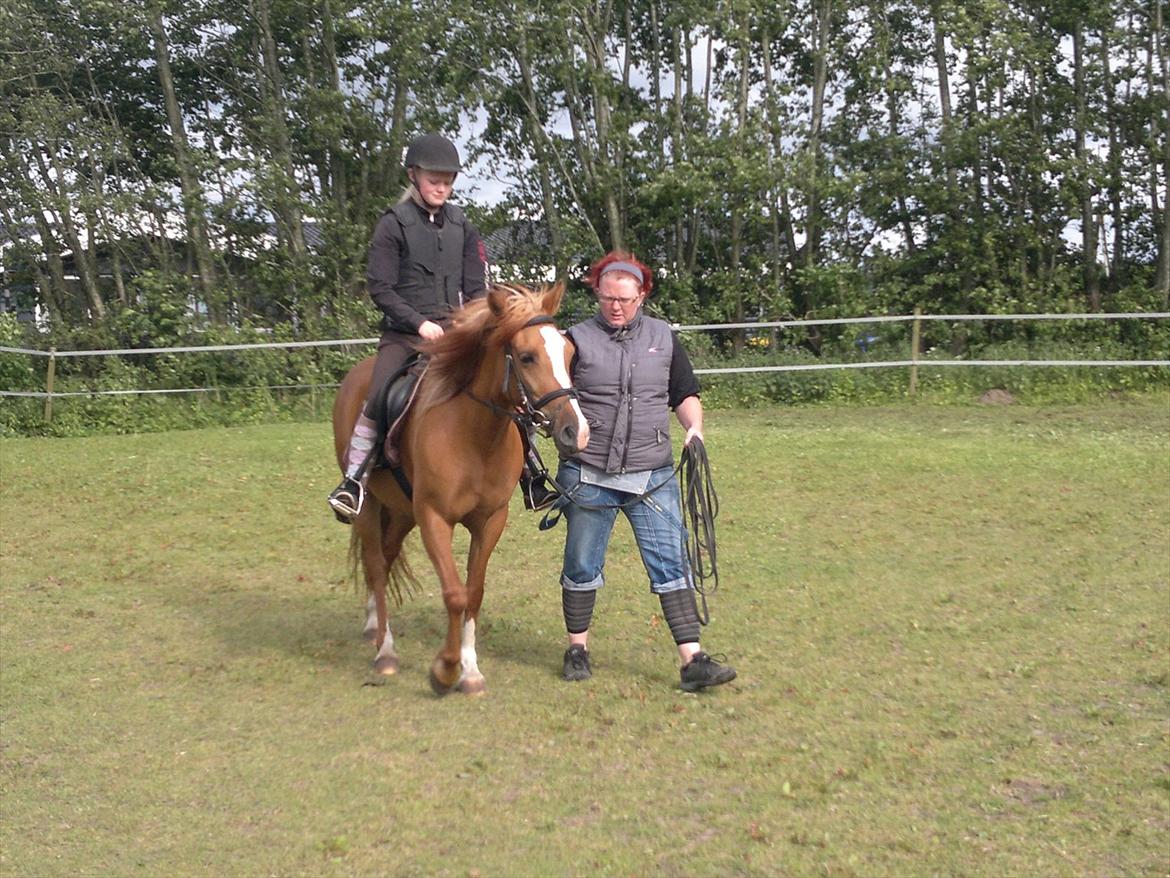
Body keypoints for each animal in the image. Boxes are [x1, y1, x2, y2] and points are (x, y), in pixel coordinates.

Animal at [329, 285, 585, 697]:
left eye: (569, 352)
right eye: (527, 357)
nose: (576, 432)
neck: (475, 435)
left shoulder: (490, 521)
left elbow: (473, 592)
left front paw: (470, 671)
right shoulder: (434, 518)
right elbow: (453, 594)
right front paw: (445, 670)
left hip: (401, 511)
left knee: (385, 558)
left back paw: (373, 626)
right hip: (370, 507)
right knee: (376, 564)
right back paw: (385, 651)